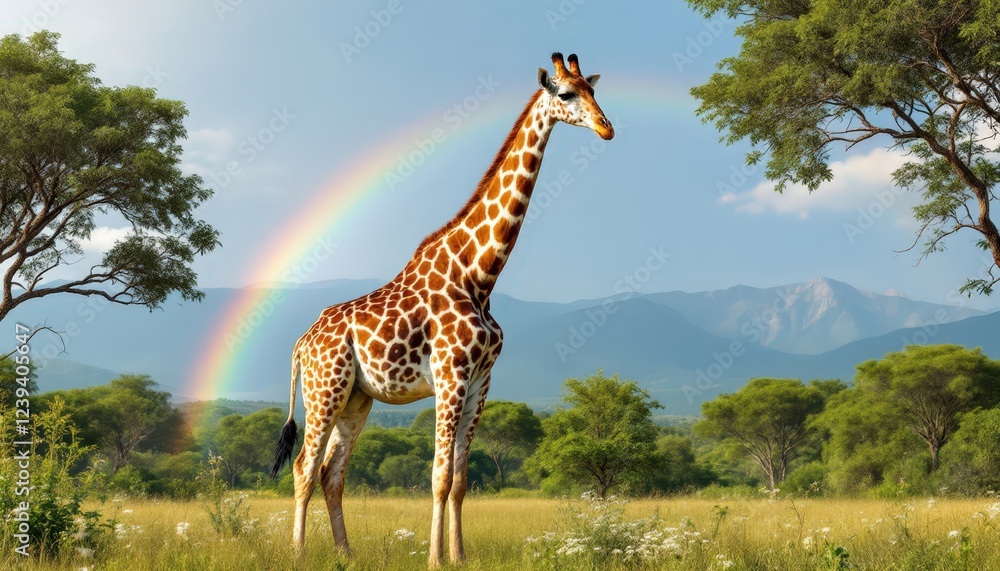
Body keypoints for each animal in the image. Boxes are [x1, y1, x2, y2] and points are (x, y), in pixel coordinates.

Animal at [269, 52, 614, 567]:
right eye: (567, 94)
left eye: (595, 92)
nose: (606, 128)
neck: (479, 275)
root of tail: (301, 342)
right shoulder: (451, 375)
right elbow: (438, 476)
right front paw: (434, 558)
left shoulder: (481, 381)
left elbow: (461, 481)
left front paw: (460, 555)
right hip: (323, 389)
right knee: (303, 467)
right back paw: (299, 553)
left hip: (357, 398)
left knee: (333, 472)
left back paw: (346, 553)